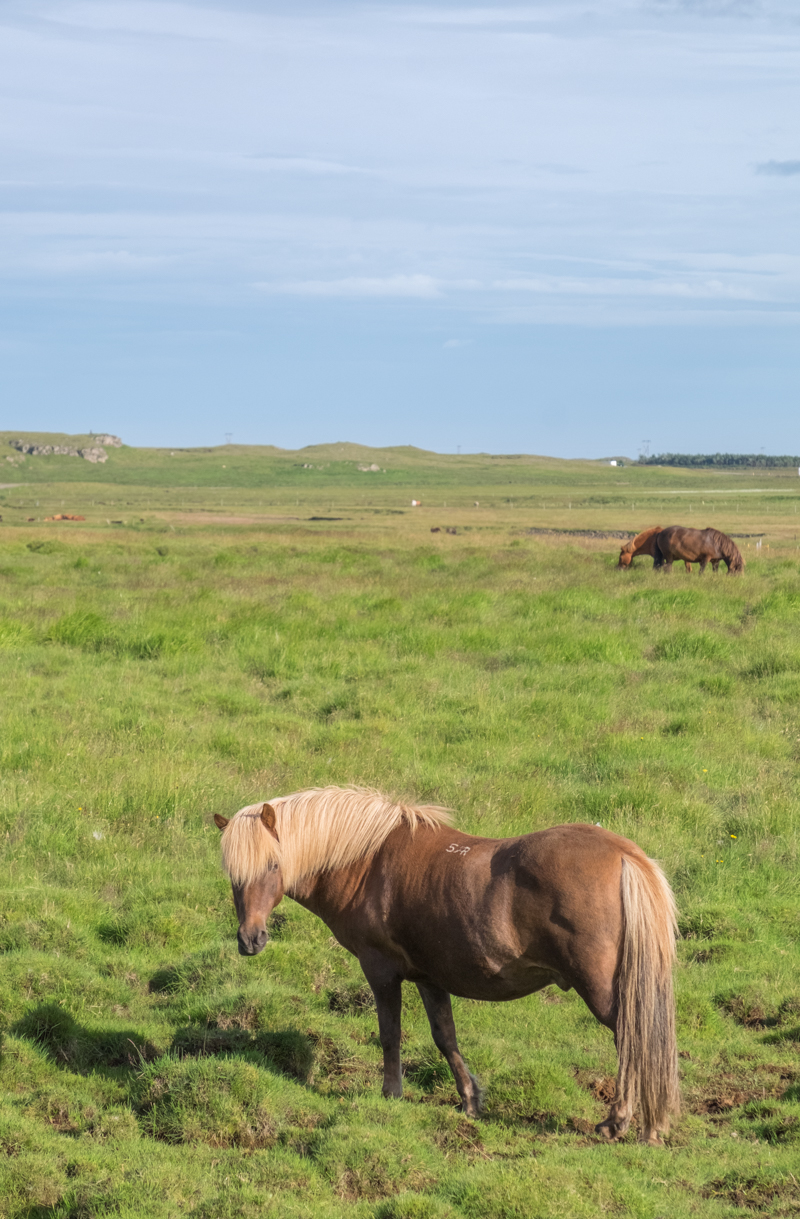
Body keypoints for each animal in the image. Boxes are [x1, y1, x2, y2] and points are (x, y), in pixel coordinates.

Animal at [215, 789, 678, 1140]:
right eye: (233, 874)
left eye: (273, 865)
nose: (251, 939)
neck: (368, 861)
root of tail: (624, 856)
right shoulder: (429, 977)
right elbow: (445, 1037)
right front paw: (470, 1100)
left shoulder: (380, 970)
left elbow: (390, 1035)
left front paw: (391, 1094)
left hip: (601, 989)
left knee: (630, 1039)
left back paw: (619, 1122)